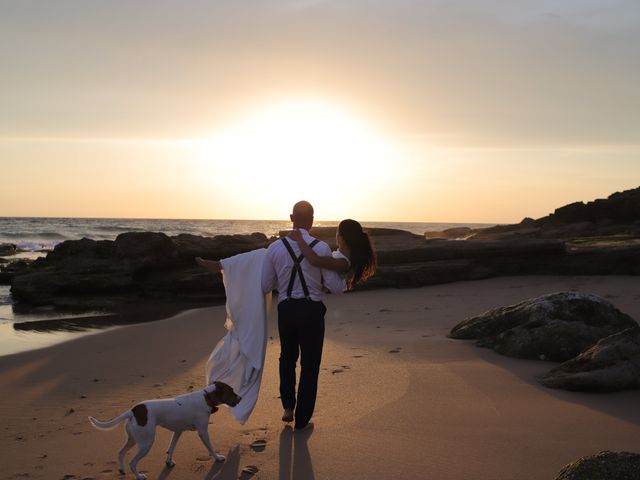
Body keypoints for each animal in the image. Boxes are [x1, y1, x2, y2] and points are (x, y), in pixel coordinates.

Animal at [89, 380, 241, 478]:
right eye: (232, 391)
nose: (240, 397)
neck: (206, 397)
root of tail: (133, 411)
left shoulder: (177, 432)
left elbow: (171, 448)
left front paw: (169, 461)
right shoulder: (203, 432)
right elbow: (210, 448)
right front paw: (217, 457)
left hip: (133, 439)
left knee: (121, 453)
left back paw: (121, 470)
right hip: (146, 443)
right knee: (132, 462)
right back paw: (139, 476)